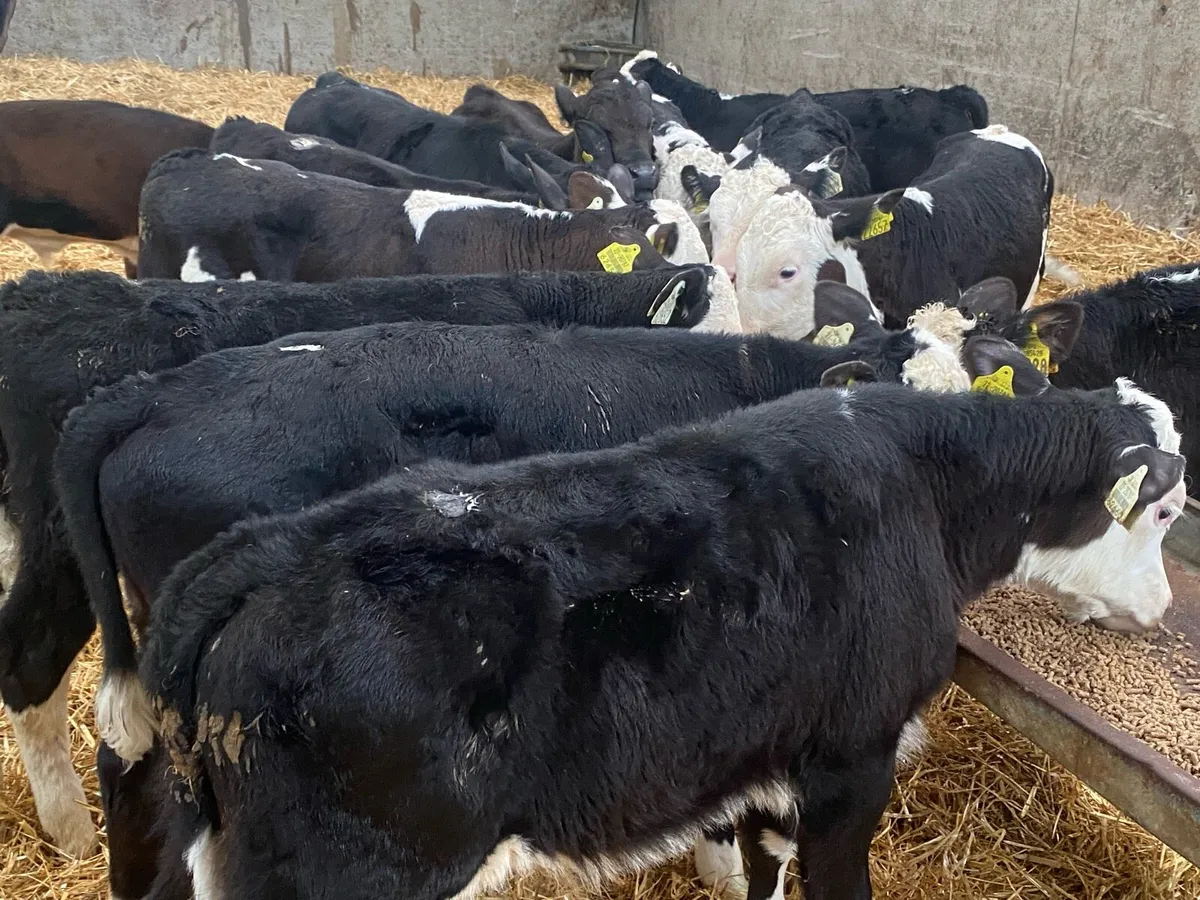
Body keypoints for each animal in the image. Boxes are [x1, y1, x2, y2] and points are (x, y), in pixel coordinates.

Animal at [135, 357, 1185, 900]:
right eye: (1169, 510)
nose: (1166, 610)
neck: (922, 488)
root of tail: (268, 551)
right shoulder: (852, 756)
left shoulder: (768, 754)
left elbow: (762, 872)